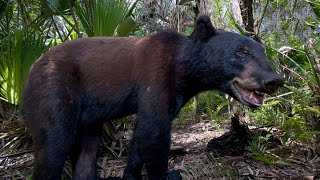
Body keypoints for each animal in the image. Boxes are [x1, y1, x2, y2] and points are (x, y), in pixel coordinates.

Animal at [21, 15, 284, 180]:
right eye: (241, 52)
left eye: (262, 51)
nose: (274, 80)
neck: (185, 71)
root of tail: (31, 69)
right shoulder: (155, 77)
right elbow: (154, 135)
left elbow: (141, 139)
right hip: (55, 90)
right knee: (53, 146)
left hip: (89, 121)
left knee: (86, 154)